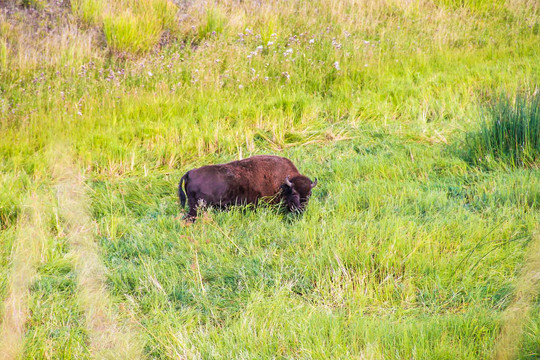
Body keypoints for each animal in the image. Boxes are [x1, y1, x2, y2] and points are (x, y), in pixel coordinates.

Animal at [178, 155, 316, 219]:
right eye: (294, 193)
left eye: (309, 194)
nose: (301, 210)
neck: (283, 184)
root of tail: (190, 173)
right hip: (196, 207)